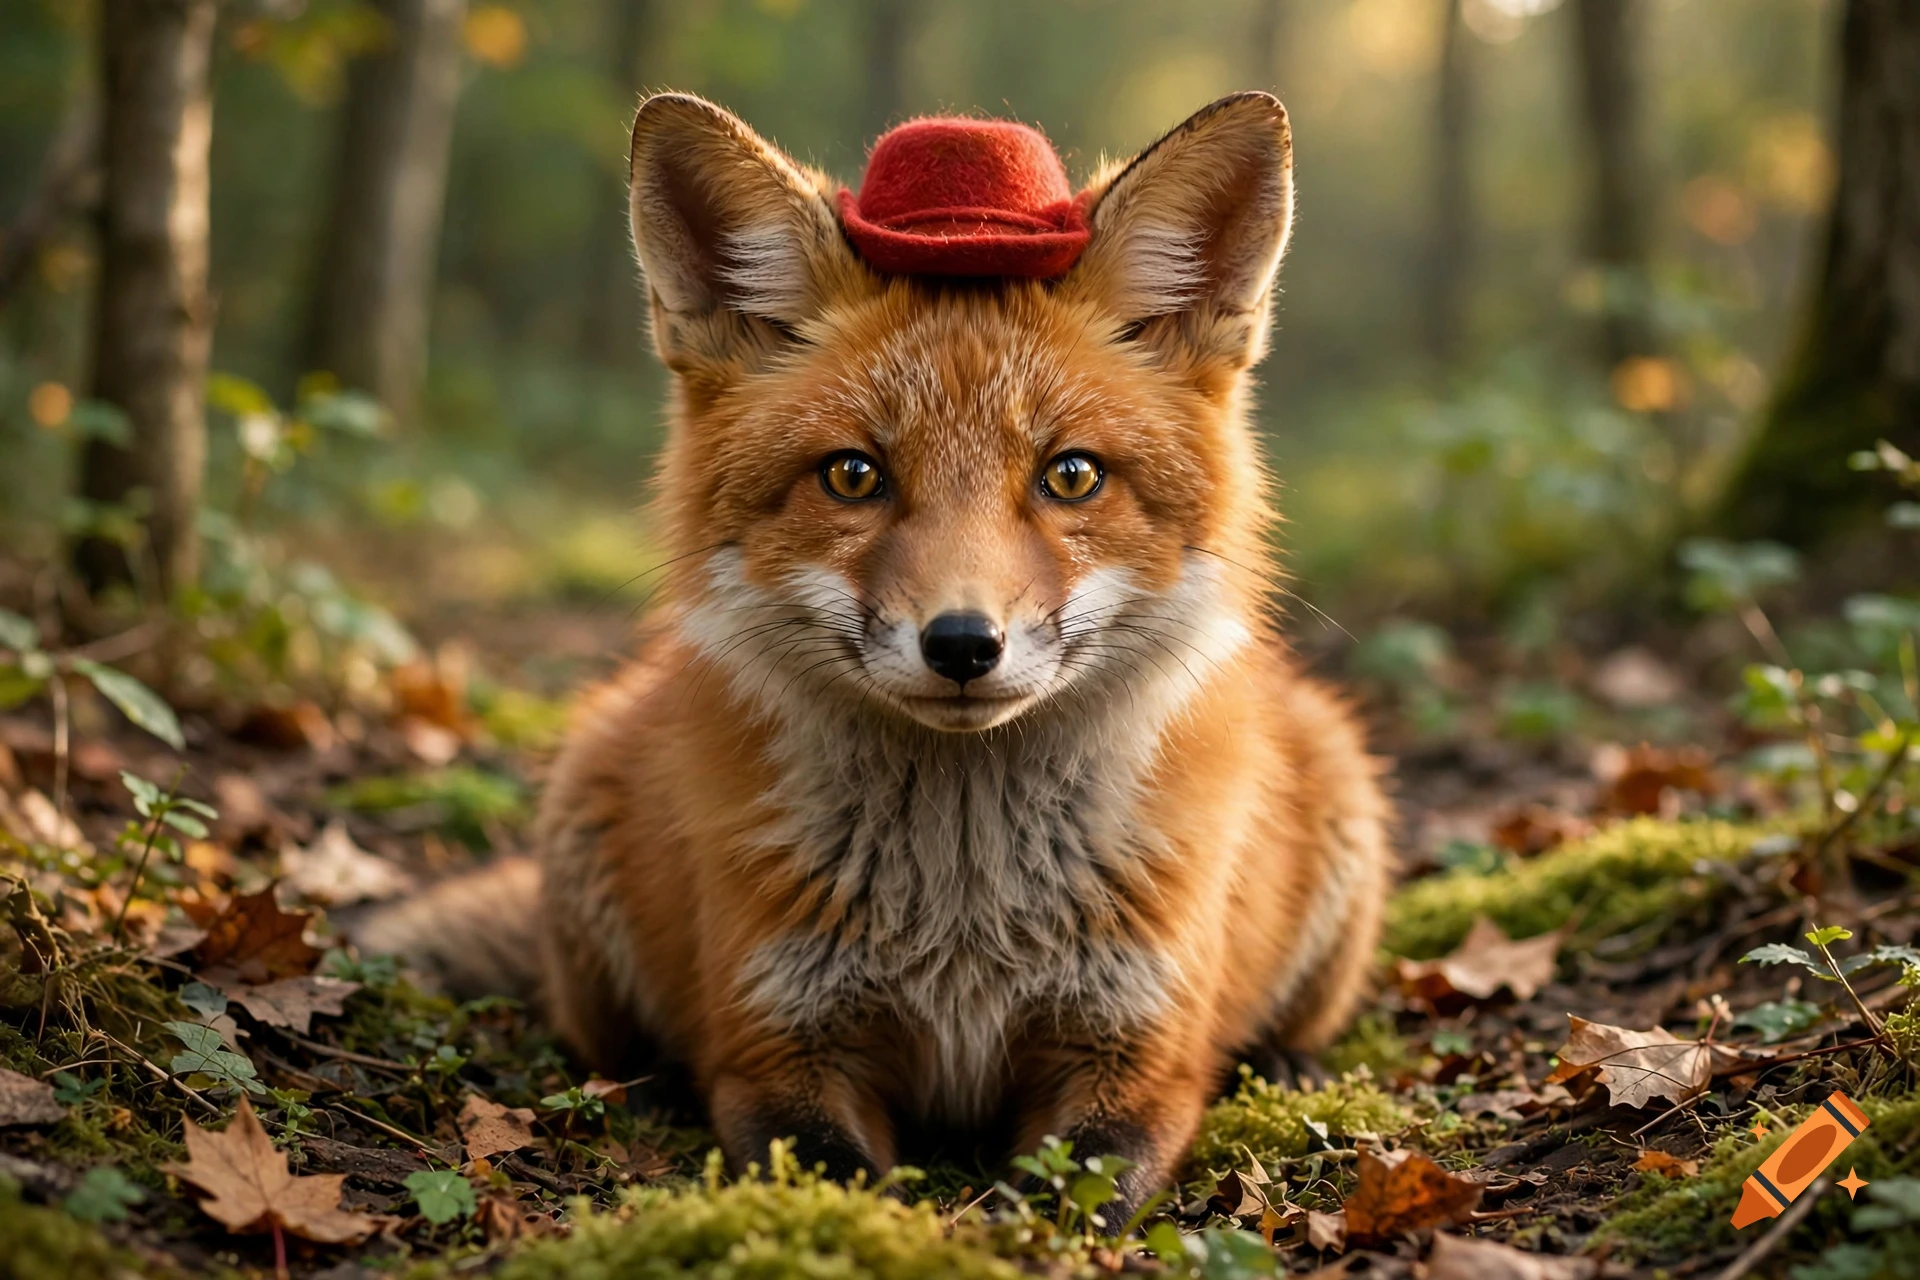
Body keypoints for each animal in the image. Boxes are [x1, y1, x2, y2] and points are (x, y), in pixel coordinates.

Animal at [360, 89, 1392, 1220]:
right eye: (853, 475)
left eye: (1071, 475)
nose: (963, 643)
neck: (963, 917)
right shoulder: (776, 1050)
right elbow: (840, 1185)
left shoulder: (1137, 1059)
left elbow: (1058, 1199)